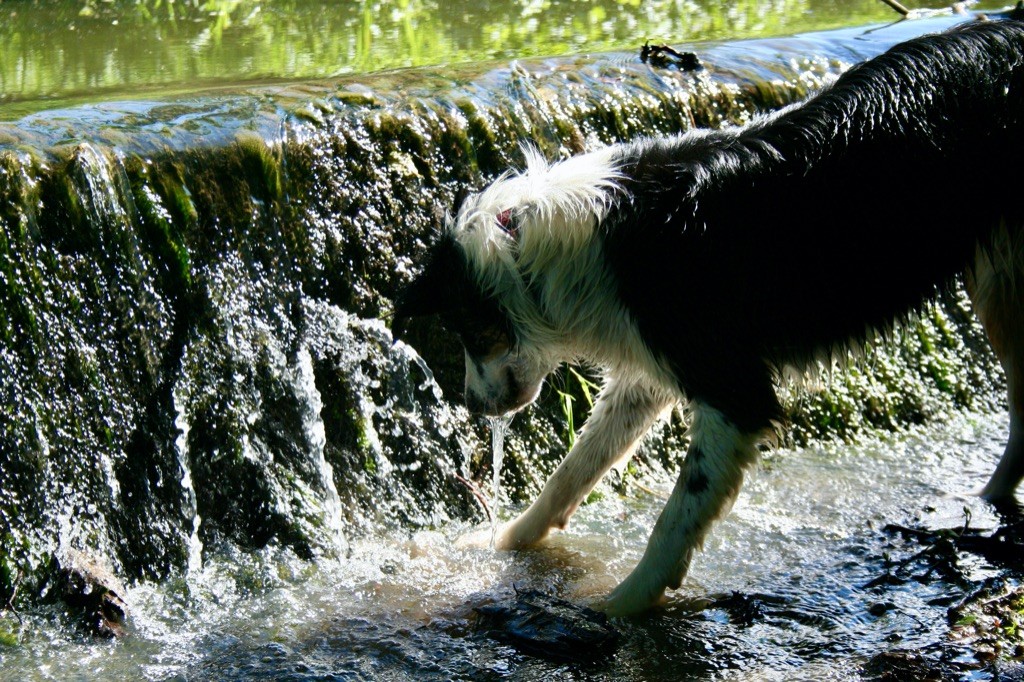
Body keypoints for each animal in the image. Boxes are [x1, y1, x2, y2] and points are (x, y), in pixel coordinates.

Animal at [391, 21, 1024, 614]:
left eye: (462, 329)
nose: (473, 407)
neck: (530, 243)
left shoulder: (733, 392)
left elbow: (676, 517)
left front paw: (620, 607)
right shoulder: (648, 364)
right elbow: (573, 469)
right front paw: (504, 540)